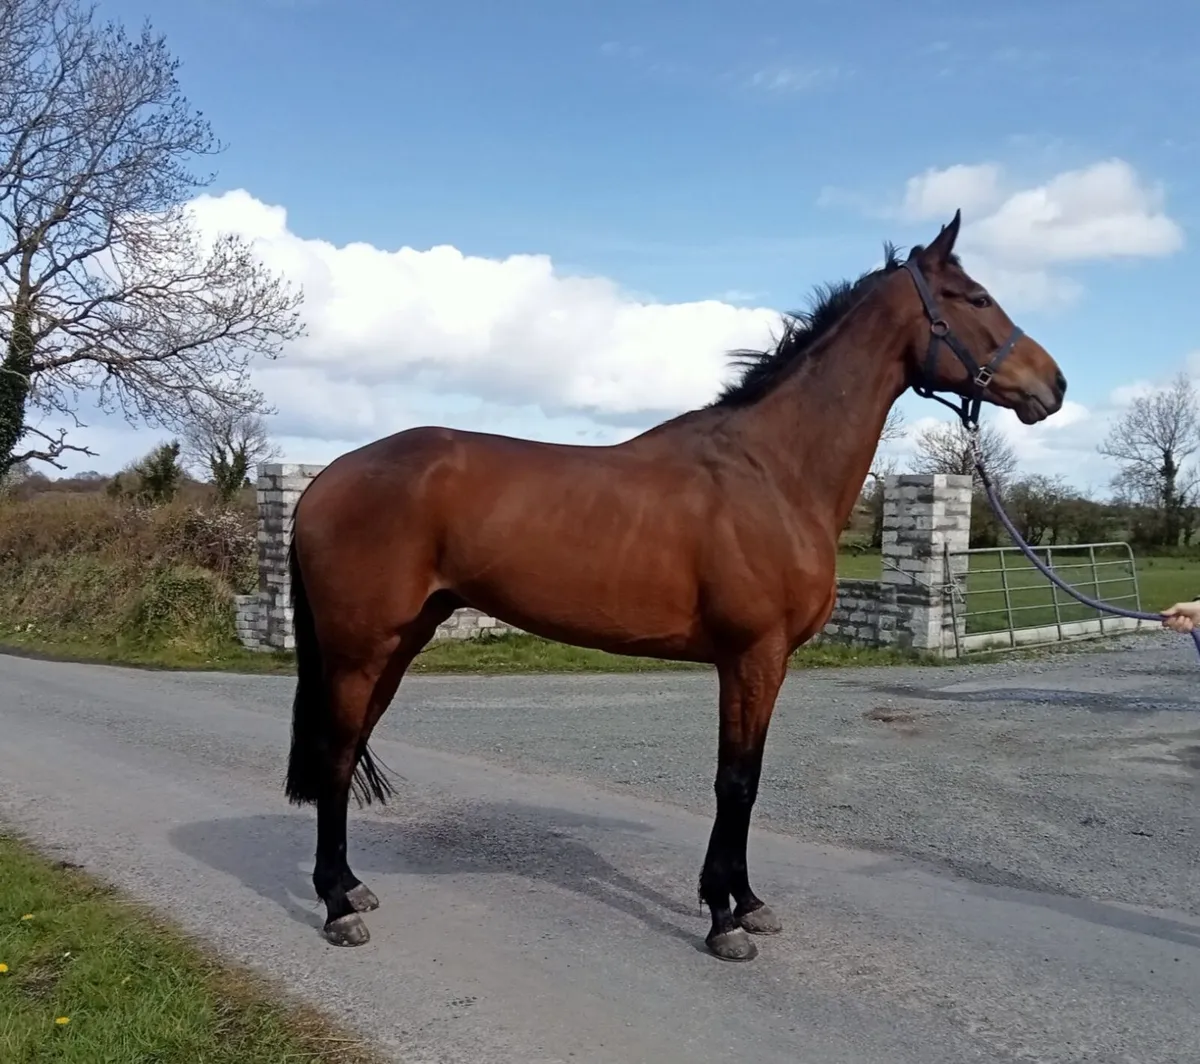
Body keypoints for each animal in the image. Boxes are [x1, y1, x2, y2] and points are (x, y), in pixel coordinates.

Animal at [282, 210, 1066, 962]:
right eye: (976, 298)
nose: (1053, 385)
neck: (773, 471)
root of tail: (325, 479)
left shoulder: (762, 664)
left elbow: (747, 781)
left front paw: (747, 902)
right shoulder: (752, 657)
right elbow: (735, 782)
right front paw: (724, 921)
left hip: (399, 641)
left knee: (348, 747)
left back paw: (351, 886)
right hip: (360, 649)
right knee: (336, 752)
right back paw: (337, 907)